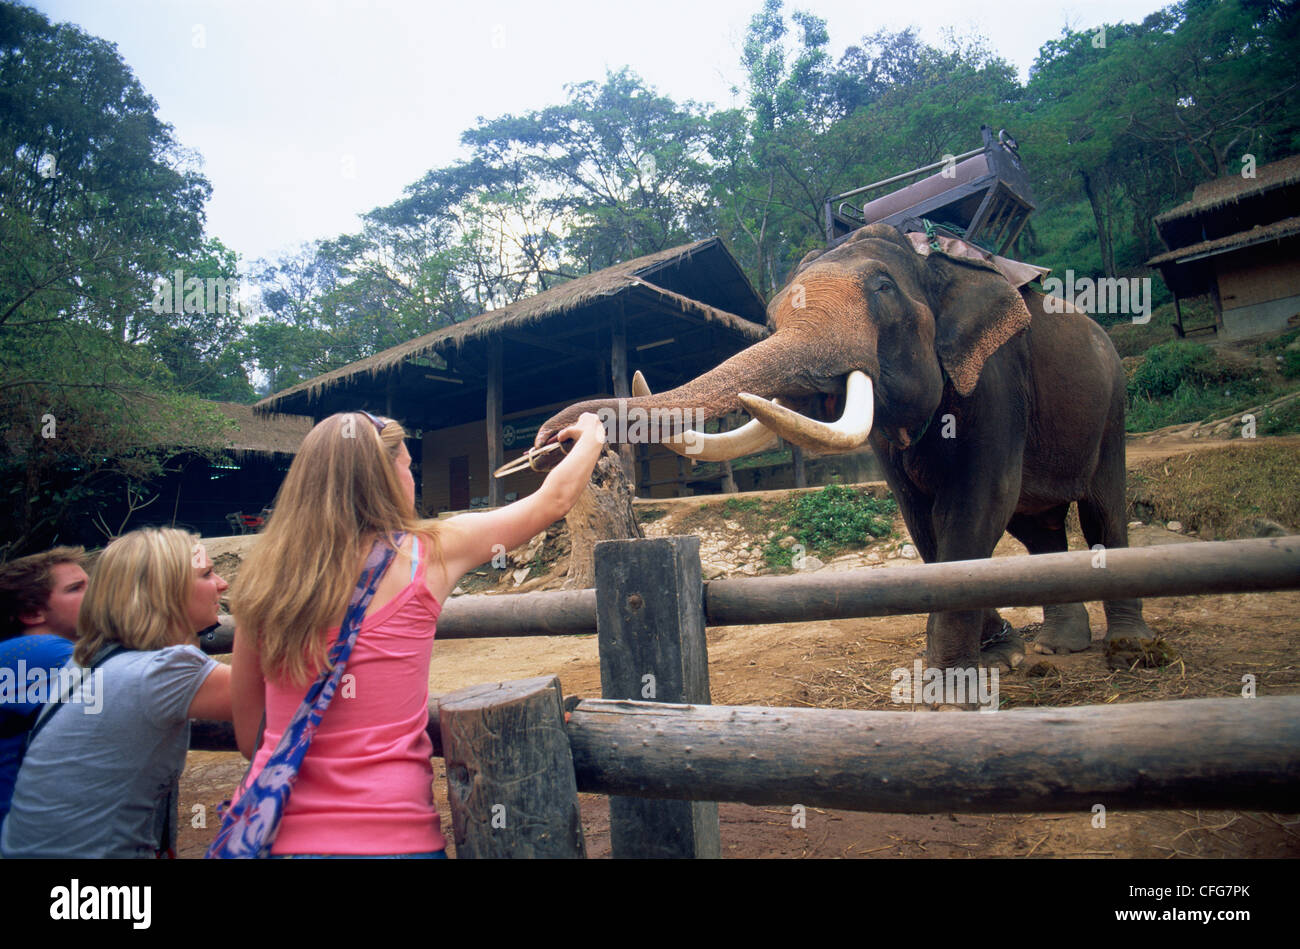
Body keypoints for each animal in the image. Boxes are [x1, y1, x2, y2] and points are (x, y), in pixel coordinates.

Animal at [535, 222, 1155, 674]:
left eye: (883, 289)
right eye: (771, 316)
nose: (551, 439)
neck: (930, 260)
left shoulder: (995, 374)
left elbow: (977, 504)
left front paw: (949, 684)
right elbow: (921, 520)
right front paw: (998, 653)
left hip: (1112, 401)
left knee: (1101, 510)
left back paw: (1131, 649)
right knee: (1038, 528)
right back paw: (1057, 647)